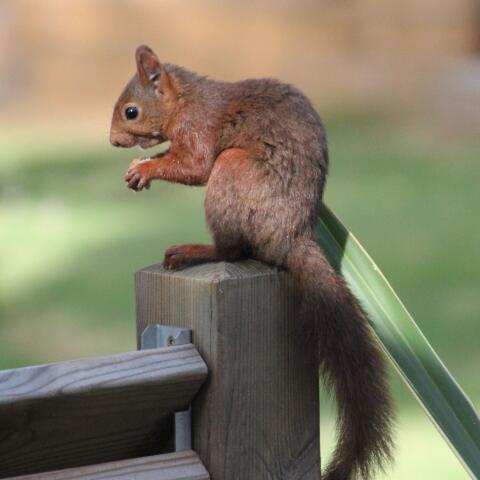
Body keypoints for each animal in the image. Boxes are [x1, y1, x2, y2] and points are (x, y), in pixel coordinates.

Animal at [110, 45, 394, 480]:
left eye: (131, 112)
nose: (112, 141)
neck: (187, 100)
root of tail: (290, 237)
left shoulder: (199, 129)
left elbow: (194, 165)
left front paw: (146, 168)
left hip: (232, 171)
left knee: (232, 250)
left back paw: (194, 250)